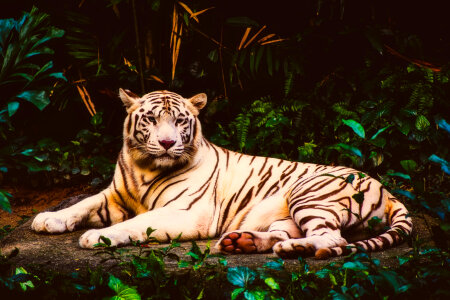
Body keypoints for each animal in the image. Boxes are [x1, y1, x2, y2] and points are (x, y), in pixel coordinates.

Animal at [29, 88, 414, 258]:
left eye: (180, 121)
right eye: (151, 119)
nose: (167, 143)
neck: (145, 166)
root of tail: (388, 190)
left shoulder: (186, 212)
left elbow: (136, 223)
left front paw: (97, 237)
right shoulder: (115, 195)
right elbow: (82, 204)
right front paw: (48, 219)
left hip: (310, 194)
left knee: (333, 239)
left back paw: (295, 249)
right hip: (286, 214)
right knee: (287, 233)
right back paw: (242, 241)